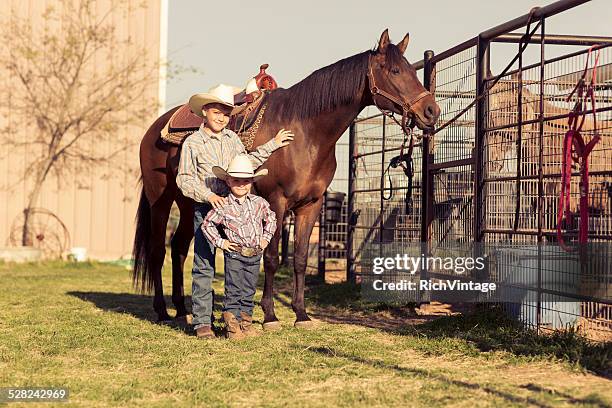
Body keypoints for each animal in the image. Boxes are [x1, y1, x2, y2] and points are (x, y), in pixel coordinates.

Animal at [133, 30, 440, 326]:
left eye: (411, 71)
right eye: (395, 71)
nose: (431, 111)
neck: (305, 133)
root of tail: (155, 128)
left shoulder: (310, 205)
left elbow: (301, 258)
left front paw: (301, 314)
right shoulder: (275, 202)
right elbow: (270, 258)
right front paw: (269, 315)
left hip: (188, 203)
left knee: (179, 247)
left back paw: (182, 309)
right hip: (160, 201)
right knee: (158, 250)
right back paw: (162, 310)